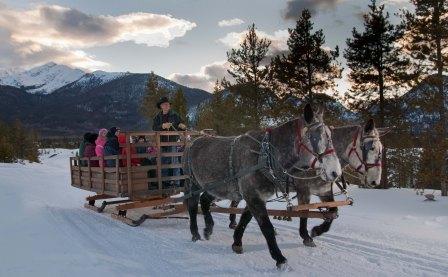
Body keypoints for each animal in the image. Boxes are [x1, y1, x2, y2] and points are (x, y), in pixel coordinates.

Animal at [184, 104, 342, 270]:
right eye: (315, 137)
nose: (335, 172)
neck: (264, 156)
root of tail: (192, 141)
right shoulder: (254, 196)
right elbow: (266, 227)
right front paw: (280, 258)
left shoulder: (258, 196)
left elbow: (245, 219)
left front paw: (237, 242)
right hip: (192, 183)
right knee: (193, 206)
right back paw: (195, 234)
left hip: (218, 187)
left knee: (205, 200)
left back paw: (208, 228)